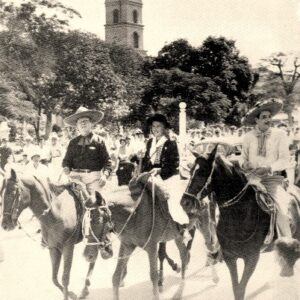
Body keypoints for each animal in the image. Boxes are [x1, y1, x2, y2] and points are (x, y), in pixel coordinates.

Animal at [0, 169, 112, 300]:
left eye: (12, 192)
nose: (5, 225)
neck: (56, 213)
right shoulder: (53, 248)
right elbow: (54, 279)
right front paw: (72, 294)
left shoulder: (68, 247)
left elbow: (65, 279)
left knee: (93, 258)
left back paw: (85, 288)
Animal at [179, 148, 300, 300]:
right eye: (190, 172)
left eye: (203, 172)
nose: (185, 202)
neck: (239, 216)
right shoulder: (230, 257)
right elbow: (236, 288)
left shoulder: (252, 258)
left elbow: (241, 289)